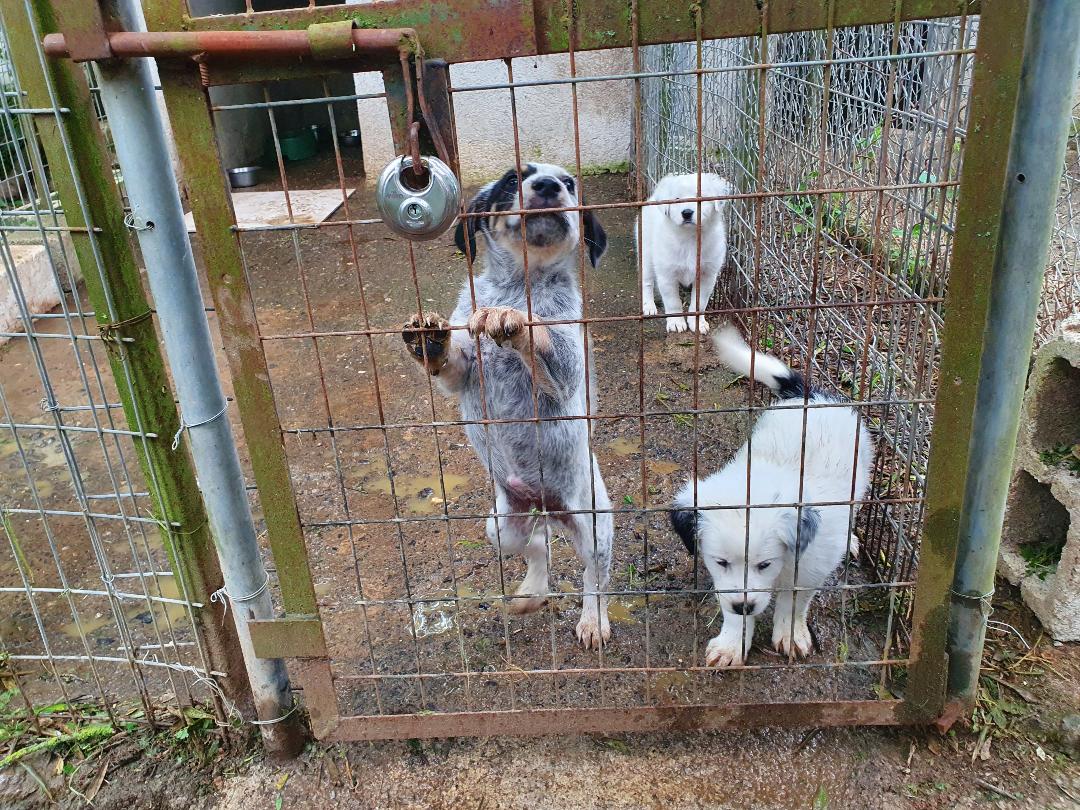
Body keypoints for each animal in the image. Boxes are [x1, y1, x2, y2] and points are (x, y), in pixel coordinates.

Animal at [401, 163, 613, 649]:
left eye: (570, 185)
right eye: (514, 180)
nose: (549, 186)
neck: (519, 284)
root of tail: (546, 504)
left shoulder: (566, 370)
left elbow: (543, 337)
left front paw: (513, 320)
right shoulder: (462, 372)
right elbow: (451, 360)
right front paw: (431, 340)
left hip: (594, 527)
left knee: (594, 577)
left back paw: (593, 620)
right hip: (500, 525)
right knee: (538, 546)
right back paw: (531, 591)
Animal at [636, 173, 733, 334]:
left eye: (700, 196)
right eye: (676, 199)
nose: (687, 213)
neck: (690, 238)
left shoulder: (707, 275)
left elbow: (700, 303)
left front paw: (698, 323)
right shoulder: (667, 275)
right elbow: (673, 301)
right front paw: (676, 322)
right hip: (646, 255)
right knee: (647, 282)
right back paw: (648, 306)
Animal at [670, 325, 873, 667]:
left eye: (765, 564)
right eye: (721, 561)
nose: (745, 607)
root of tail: (812, 396)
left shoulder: (811, 566)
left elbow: (794, 601)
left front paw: (790, 634)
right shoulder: (728, 586)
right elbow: (731, 605)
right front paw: (732, 644)